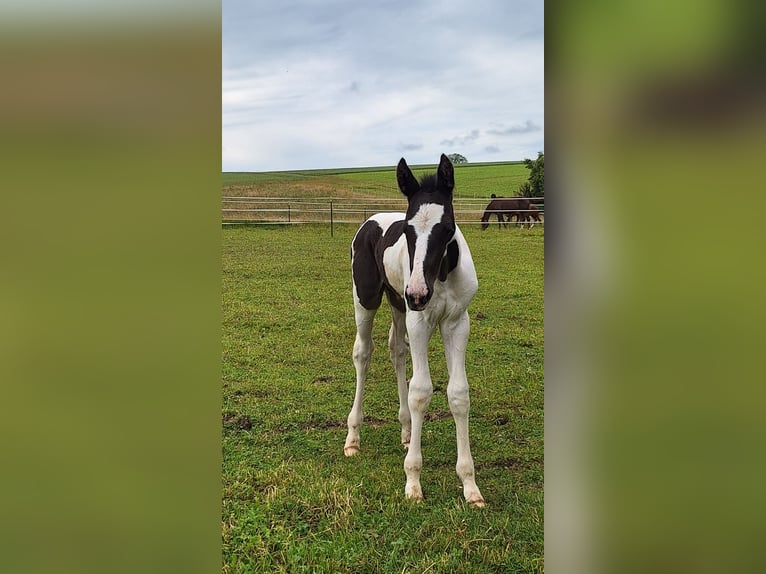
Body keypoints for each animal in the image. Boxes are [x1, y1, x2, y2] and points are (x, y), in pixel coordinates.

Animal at [346, 154, 486, 508]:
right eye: (408, 230)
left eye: (447, 228)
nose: (419, 294)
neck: (441, 275)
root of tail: (371, 220)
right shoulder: (420, 321)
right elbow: (421, 391)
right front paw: (413, 481)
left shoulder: (457, 323)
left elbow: (458, 393)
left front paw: (470, 485)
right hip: (369, 298)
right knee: (363, 352)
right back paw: (353, 437)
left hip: (398, 303)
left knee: (397, 349)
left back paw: (407, 431)